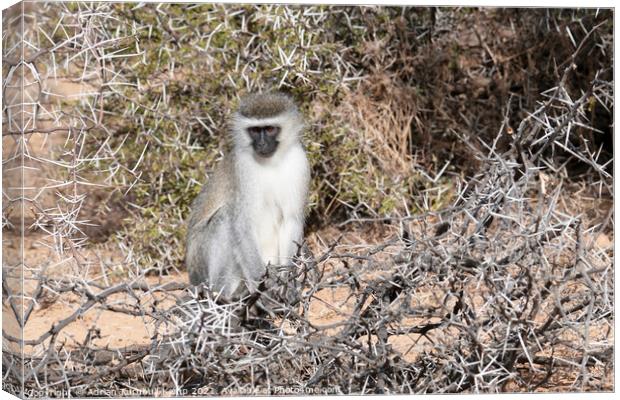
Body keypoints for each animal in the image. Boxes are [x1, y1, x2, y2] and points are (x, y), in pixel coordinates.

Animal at [184, 92, 310, 298]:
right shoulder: (242, 167)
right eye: (254, 131)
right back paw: (224, 295)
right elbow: (242, 224)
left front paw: (286, 282)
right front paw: (264, 282)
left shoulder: (299, 161)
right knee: (224, 218)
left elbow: (291, 219)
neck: (272, 162)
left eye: (269, 129)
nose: (261, 143)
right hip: (199, 264)